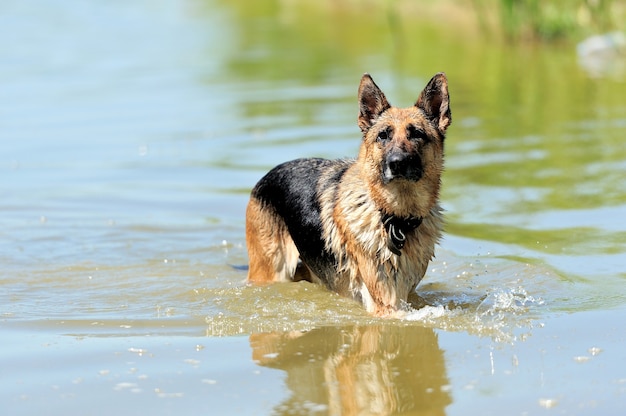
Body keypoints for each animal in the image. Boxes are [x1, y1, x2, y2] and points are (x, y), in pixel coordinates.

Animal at [244, 73, 448, 316]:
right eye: (383, 136)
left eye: (416, 134)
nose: (396, 163)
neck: (394, 219)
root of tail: (267, 176)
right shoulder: (385, 306)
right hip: (272, 269)